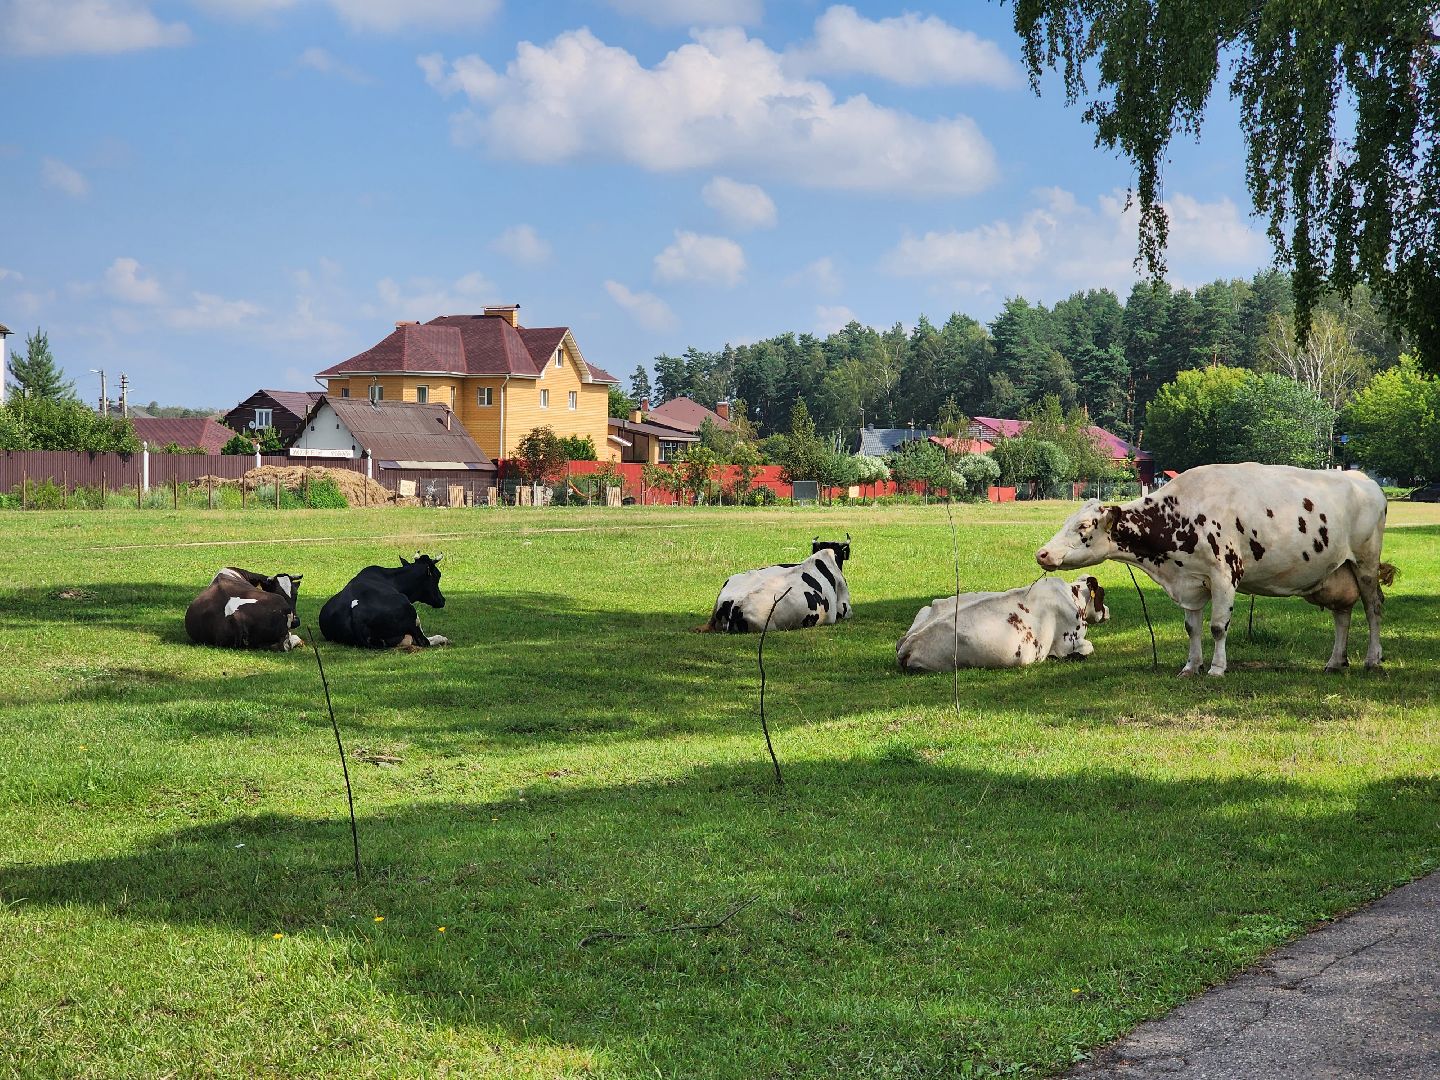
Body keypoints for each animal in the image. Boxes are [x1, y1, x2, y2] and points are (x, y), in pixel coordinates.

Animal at [318, 553, 449, 649]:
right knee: (422, 641)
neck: (392, 578)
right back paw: (442, 639)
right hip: (410, 612)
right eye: (438, 575)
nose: (442, 600)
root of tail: (356, 613)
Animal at [897, 575, 1109, 672]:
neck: (1072, 597)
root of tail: (909, 642)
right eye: (1103, 593)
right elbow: (1088, 647)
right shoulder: (1069, 644)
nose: (1107, 610)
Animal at [1035, 463, 1390, 676]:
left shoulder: (1225, 576)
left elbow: (1218, 627)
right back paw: (1335, 661)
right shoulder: (1190, 583)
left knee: (1373, 609)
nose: (1042, 553)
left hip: (1365, 563)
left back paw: (1372, 659)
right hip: (1338, 571)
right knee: (1342, 615)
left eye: (1083, 526)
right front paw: (1191, 666)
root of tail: (1364, 480)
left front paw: (1217, 668)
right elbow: (1191, 628)